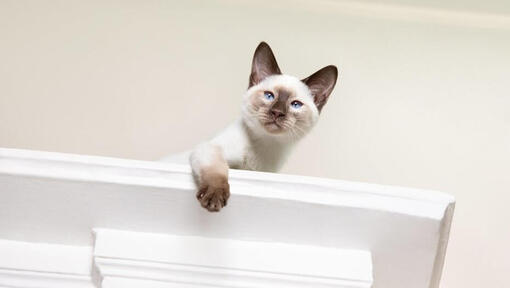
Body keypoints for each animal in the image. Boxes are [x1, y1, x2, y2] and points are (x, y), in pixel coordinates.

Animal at [164, 42, 338, 213]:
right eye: (269, 96)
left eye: (295, 105)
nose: (277, 112)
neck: (266, 146)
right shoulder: (210, 149)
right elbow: (218, 171)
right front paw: (214, 197)